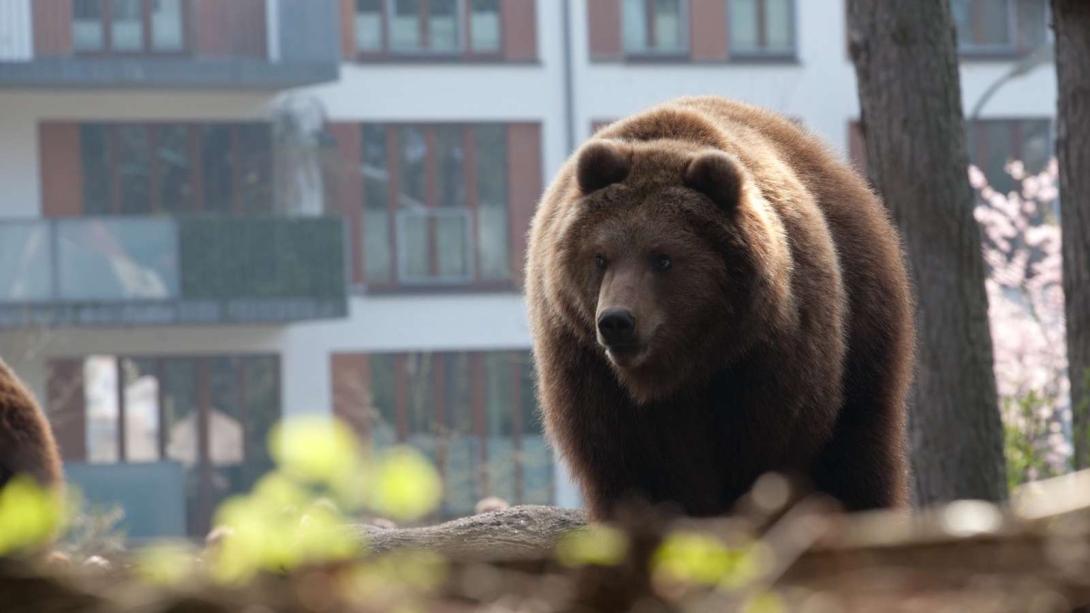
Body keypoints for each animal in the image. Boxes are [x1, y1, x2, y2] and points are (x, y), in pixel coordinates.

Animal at [525, 95, 911, 514]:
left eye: (662, 258)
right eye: (600, 257)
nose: (616, 321)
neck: (682, 367)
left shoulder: (766, 357)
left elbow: (764, 452)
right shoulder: (589, 370)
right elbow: (633, 464)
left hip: (864, 330)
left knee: (858, 446)